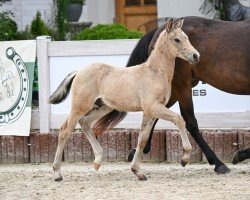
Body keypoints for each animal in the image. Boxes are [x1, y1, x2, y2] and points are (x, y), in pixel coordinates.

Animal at [93, 16, 250, 174]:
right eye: (177, 40)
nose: (196, 55)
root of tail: (158, 30)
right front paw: (240, 154)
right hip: (182, 85)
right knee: (189, 121)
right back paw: (218, 163)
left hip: (173, 90)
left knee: (156, 114)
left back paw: (139, 150)